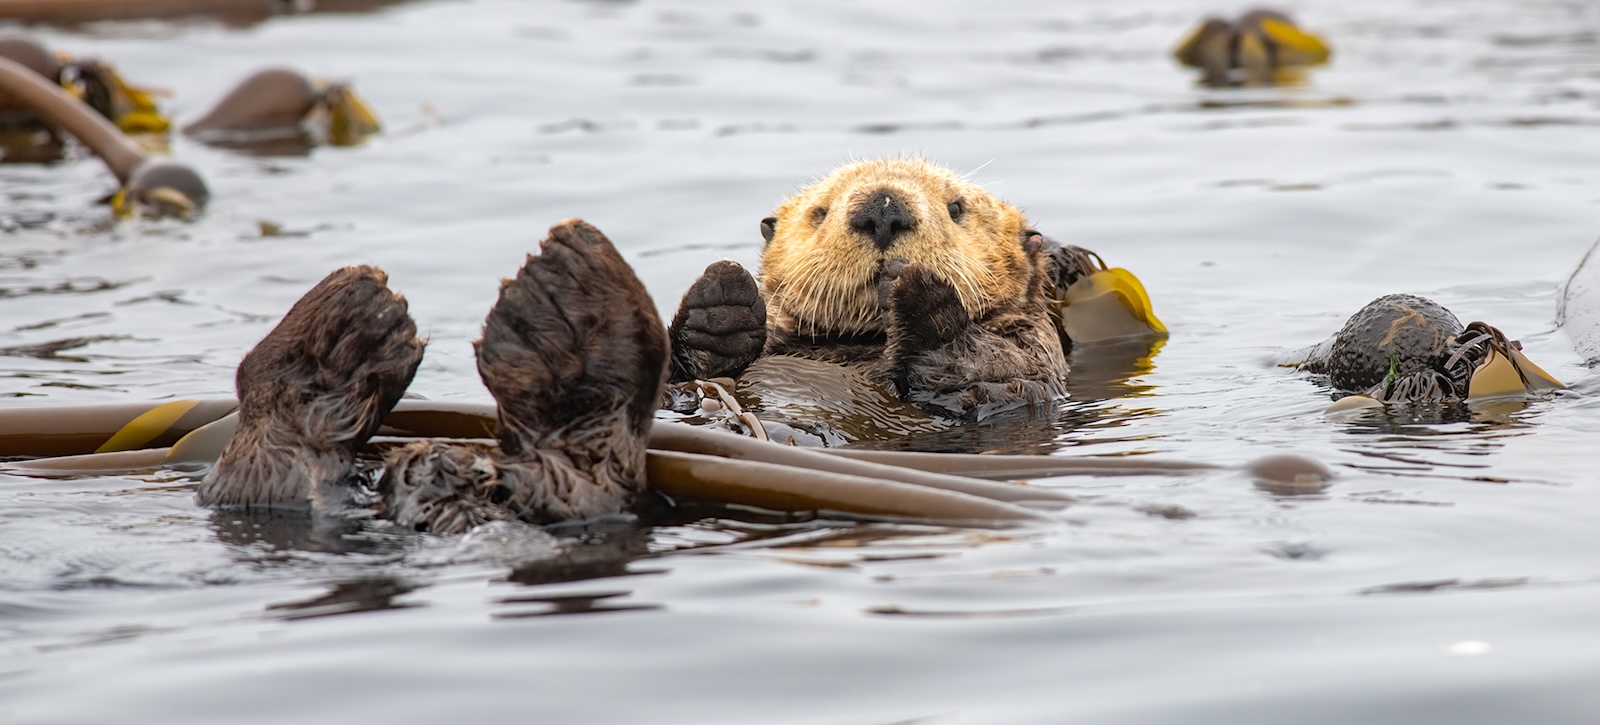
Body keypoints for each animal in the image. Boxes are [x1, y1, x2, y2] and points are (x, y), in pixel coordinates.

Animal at [669, 158, 1068, 420]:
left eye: (956, 208)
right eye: (820, 212)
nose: (883, 209)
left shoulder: (1030, 361)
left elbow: (986, 377)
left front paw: (916, 290)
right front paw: (722, 307)